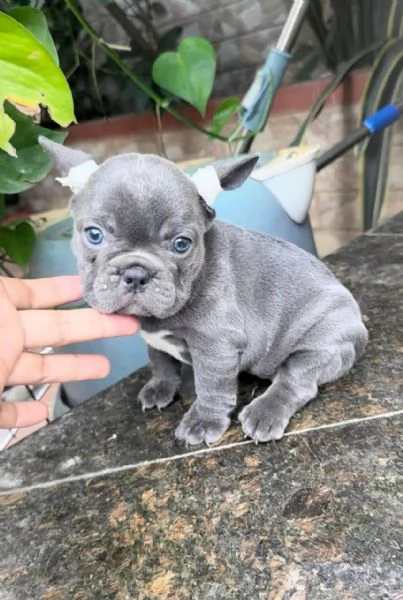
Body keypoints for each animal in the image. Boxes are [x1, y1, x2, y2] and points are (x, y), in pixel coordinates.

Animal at [40, 137, 370, 446]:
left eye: (181, 244)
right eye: (94, 235)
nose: (136, 273)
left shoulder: (216, 345)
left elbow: (211, 386)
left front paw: (203, 421)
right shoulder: (159, 343)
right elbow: (161, 361)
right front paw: (161, 387)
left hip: (323, 340)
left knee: (296, 380)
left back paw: (265, 412)